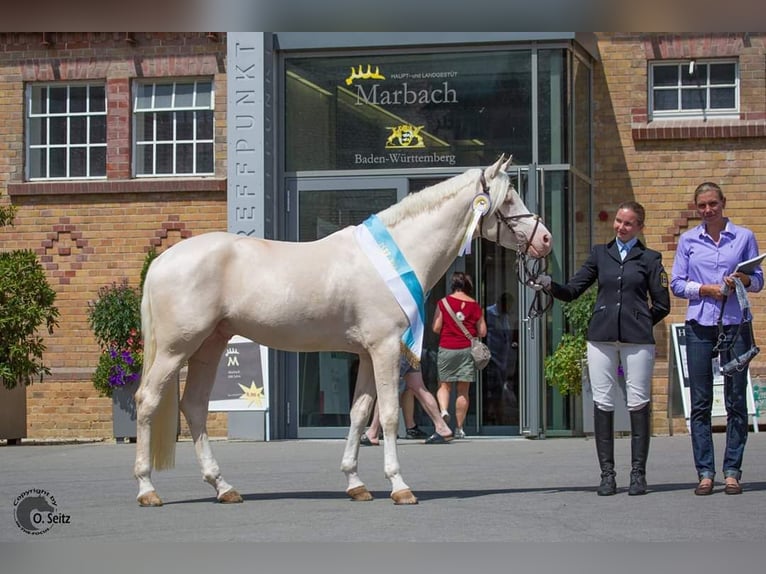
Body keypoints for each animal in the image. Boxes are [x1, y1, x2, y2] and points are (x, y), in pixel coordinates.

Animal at [132, 154, 552, 508]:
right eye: (508, 200)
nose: (545, 239)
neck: (396, 255)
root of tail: (161, 263)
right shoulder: (385, 348)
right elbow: (388, 415)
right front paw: (399, 486)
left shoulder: (366, 352)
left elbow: (359, 413)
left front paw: (356, 483)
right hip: (176, 348)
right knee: (148, 400)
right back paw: (147, 489)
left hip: (210, 344)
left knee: (194, 406)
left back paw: (223, 487)